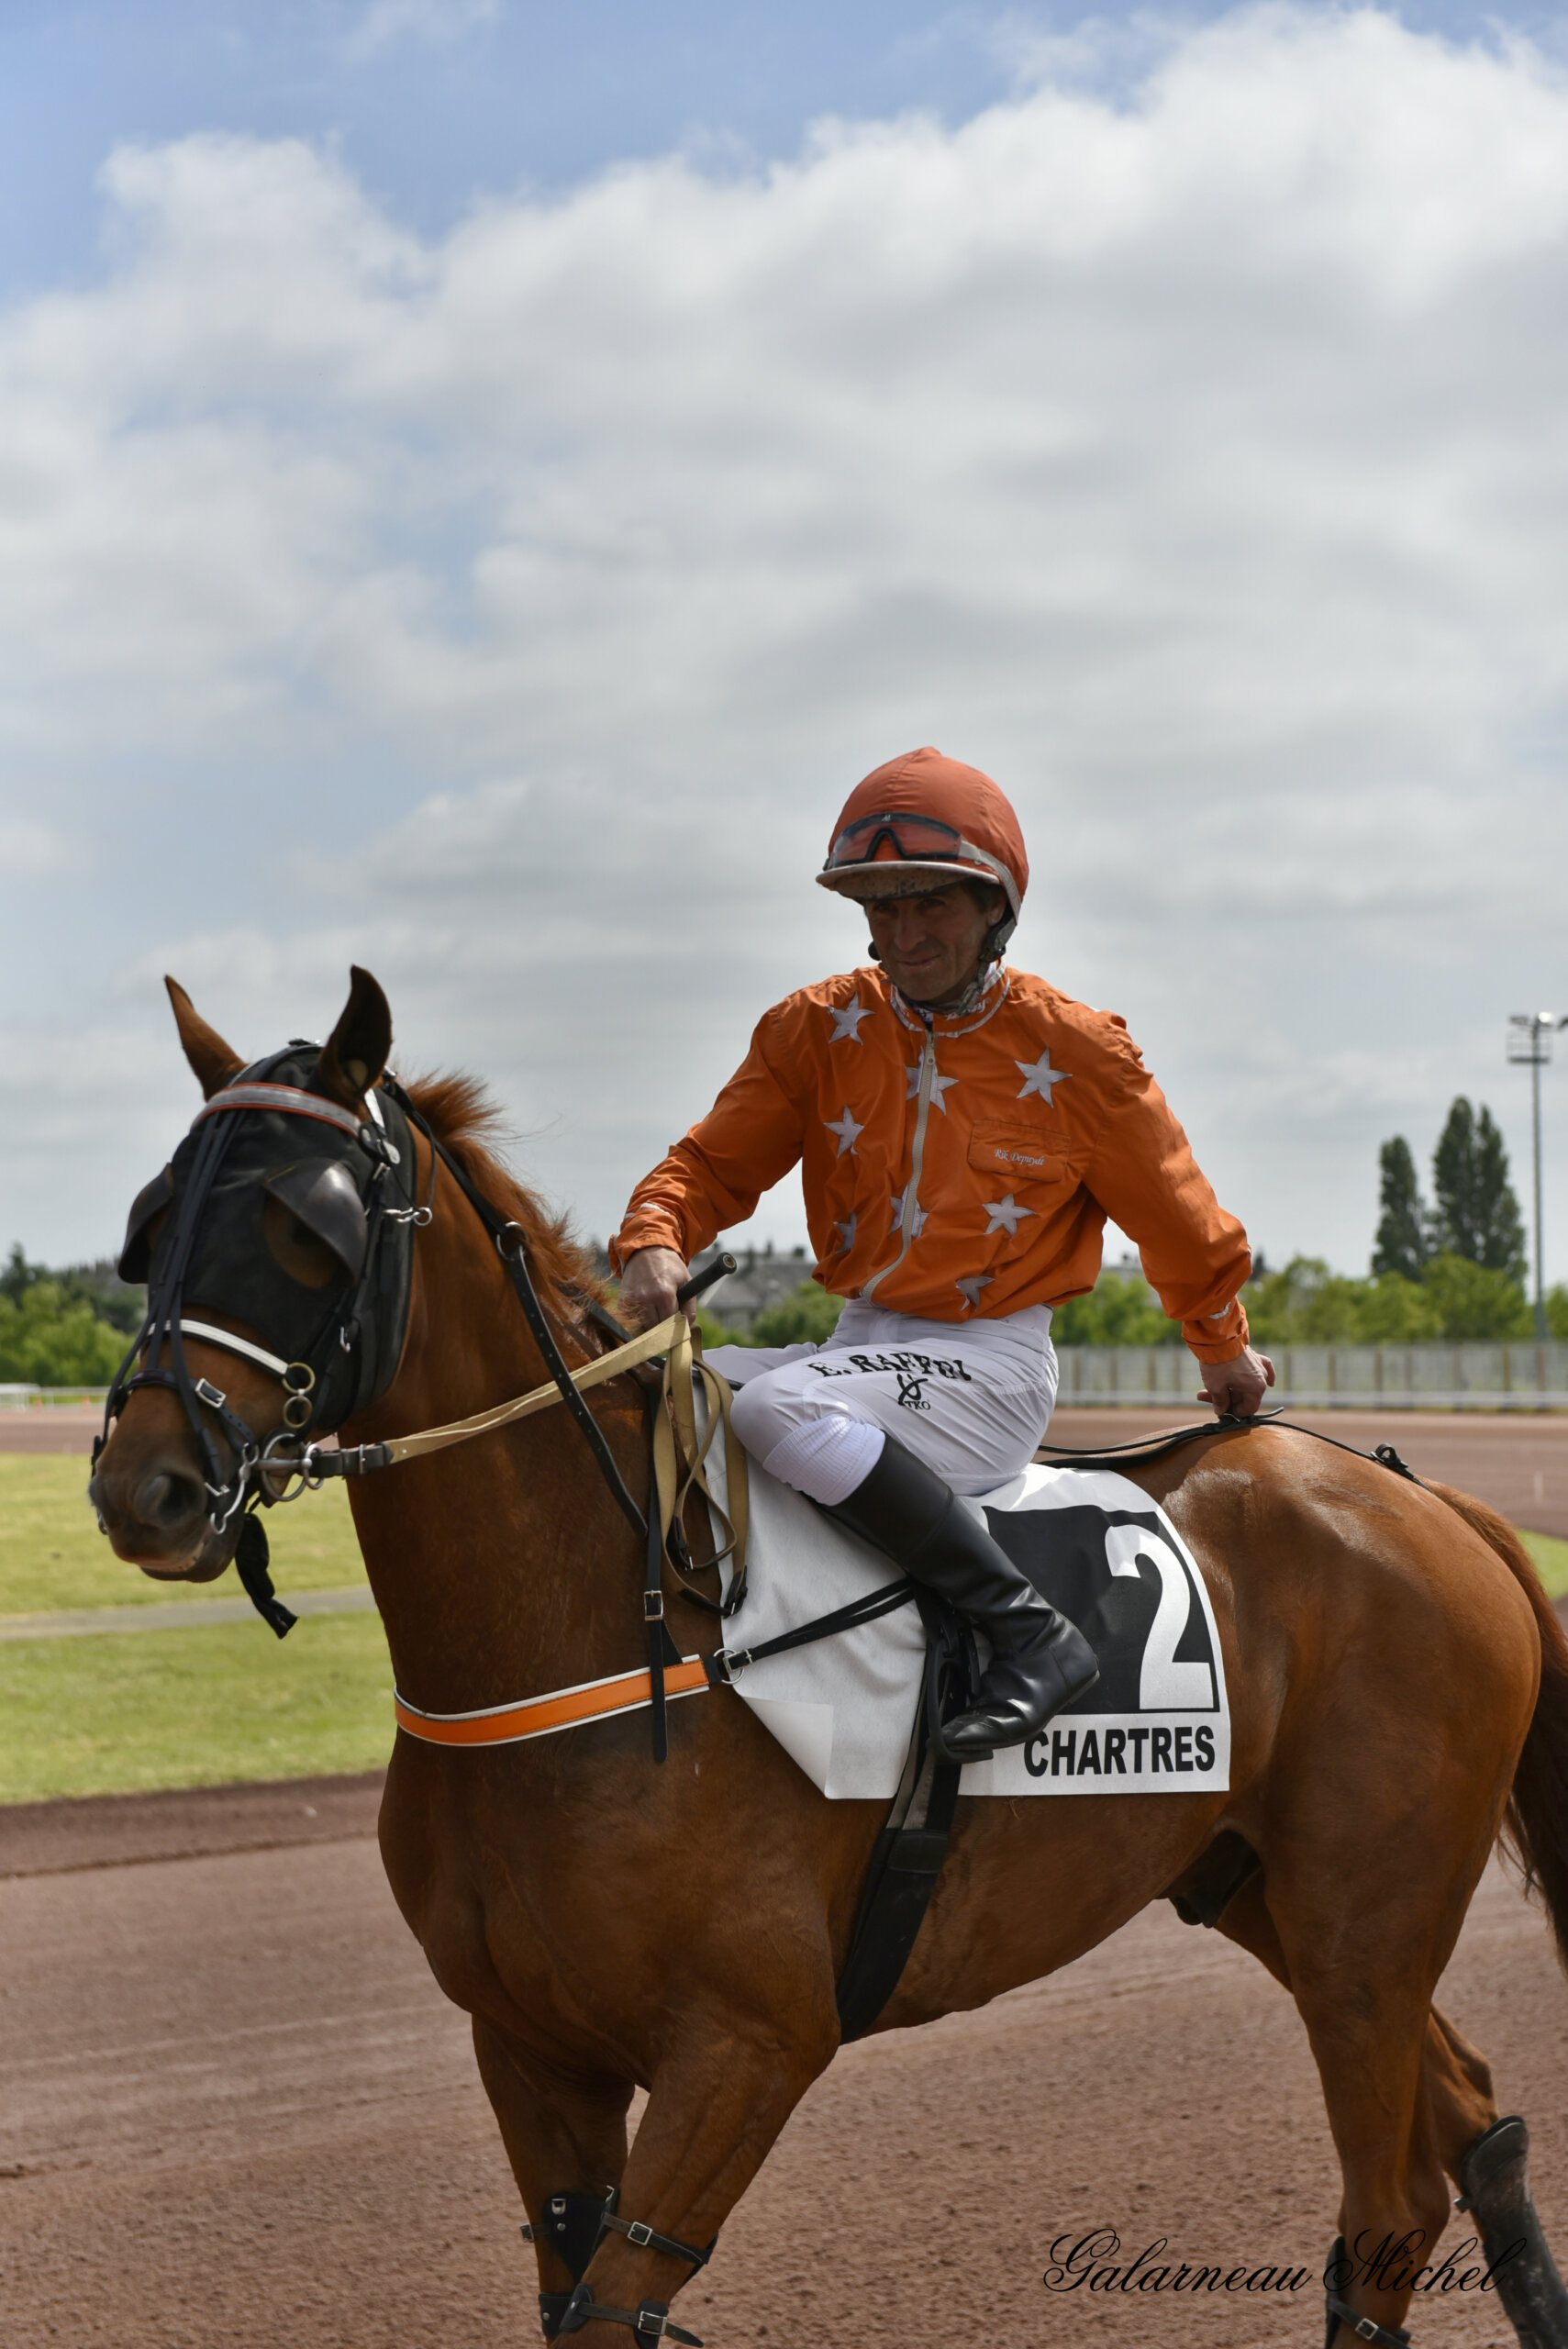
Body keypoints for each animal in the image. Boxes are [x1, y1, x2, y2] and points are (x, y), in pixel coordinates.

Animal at [90, 966, 1568, 2349]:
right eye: (152, 1227)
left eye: (306, 1225)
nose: (146, 1486)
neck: (605, 1627)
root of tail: (1420, 1493)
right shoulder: (528, 2045)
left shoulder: (749, 2040)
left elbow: (620, 2298)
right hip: (1255, 1883)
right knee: (1470, 2120)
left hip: (1364, 1919)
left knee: (1390, 2204)